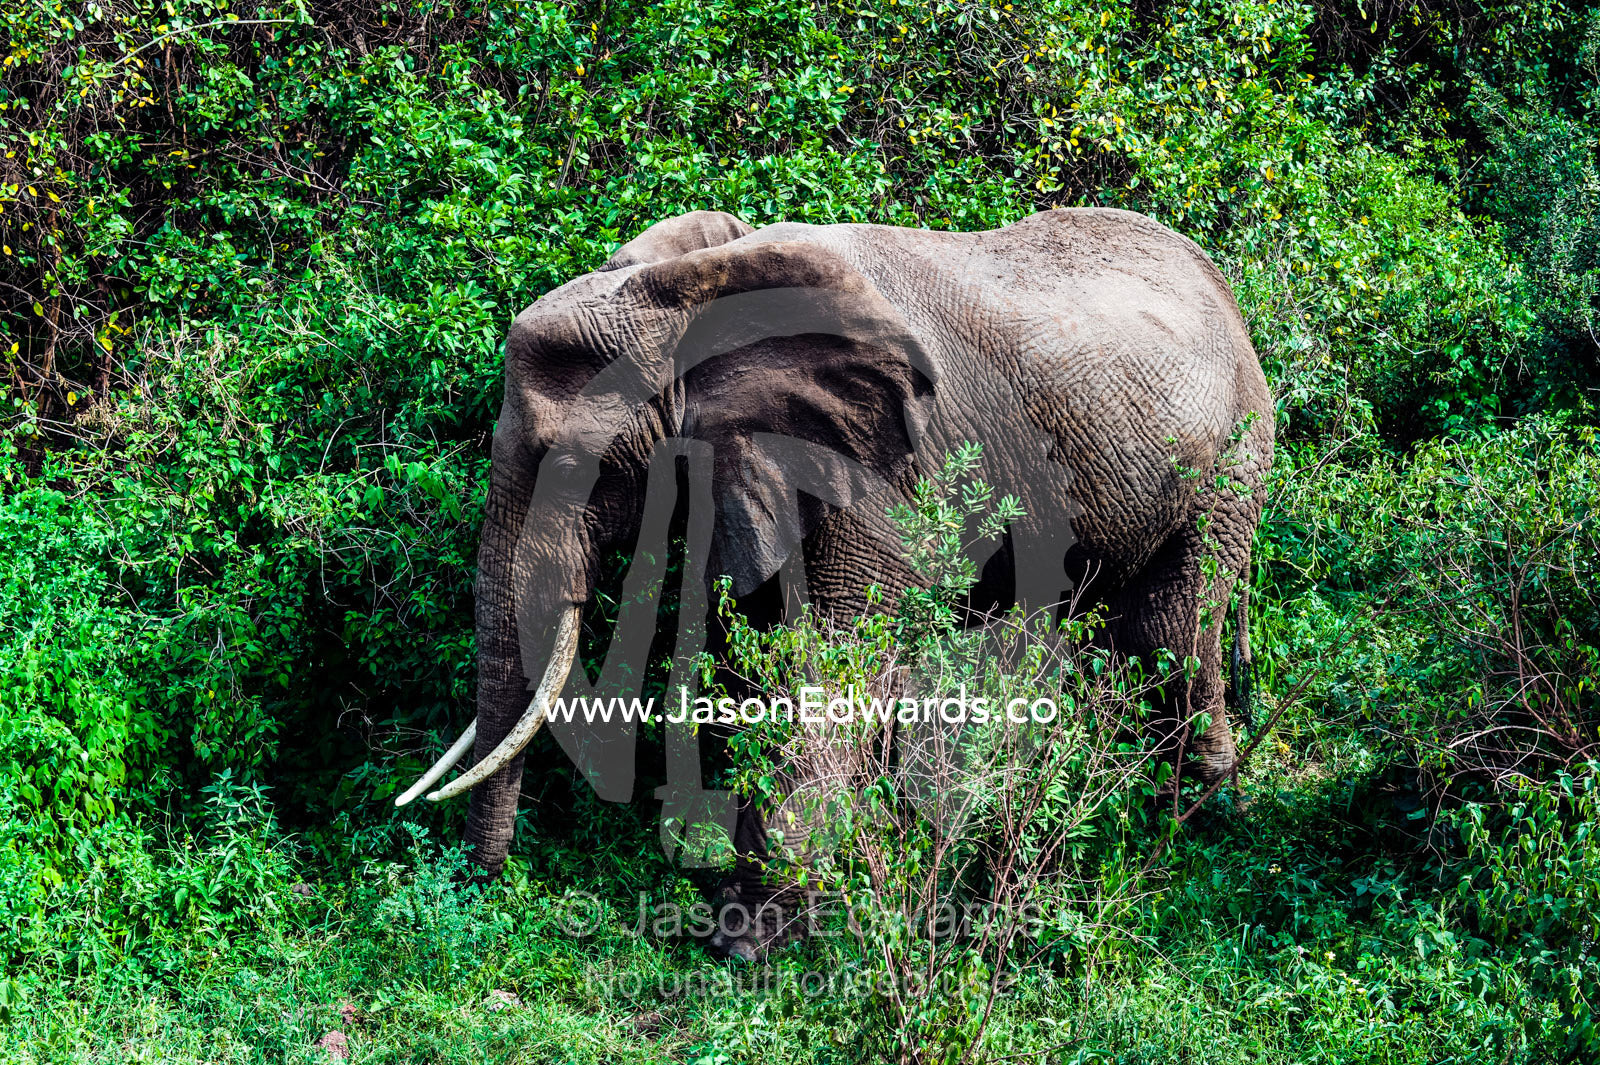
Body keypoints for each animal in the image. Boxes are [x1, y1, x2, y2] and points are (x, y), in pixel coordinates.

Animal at [391, 207, 1274, 915]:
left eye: (576, 469)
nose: (485, 880)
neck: (682, 295)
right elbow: (759, 644)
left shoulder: (873, 478)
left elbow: (828, 661)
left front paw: (758, 925)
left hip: (1230, 460)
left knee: (1168, 628)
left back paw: (1184, 816)